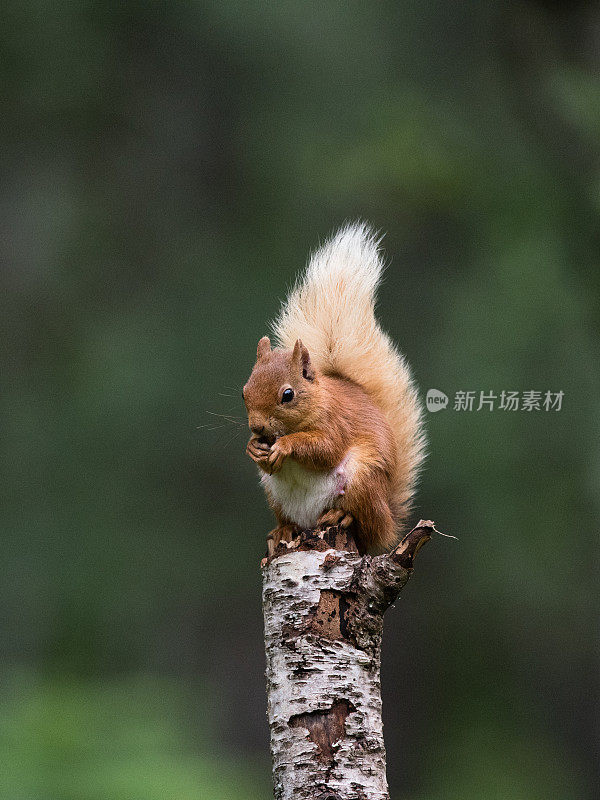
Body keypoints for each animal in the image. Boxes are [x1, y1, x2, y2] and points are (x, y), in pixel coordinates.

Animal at [241, 222, 424, 552]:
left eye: (287, 395)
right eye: (244, 392)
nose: (257, 427)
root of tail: (389, 520)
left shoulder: (336, 422)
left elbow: (325, 448)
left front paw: (286, 445)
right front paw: (252, 447)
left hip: (363, 479)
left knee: (364, 523)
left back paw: (342, 516)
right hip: (275, 495)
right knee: (289, 519)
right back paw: (285, 530)